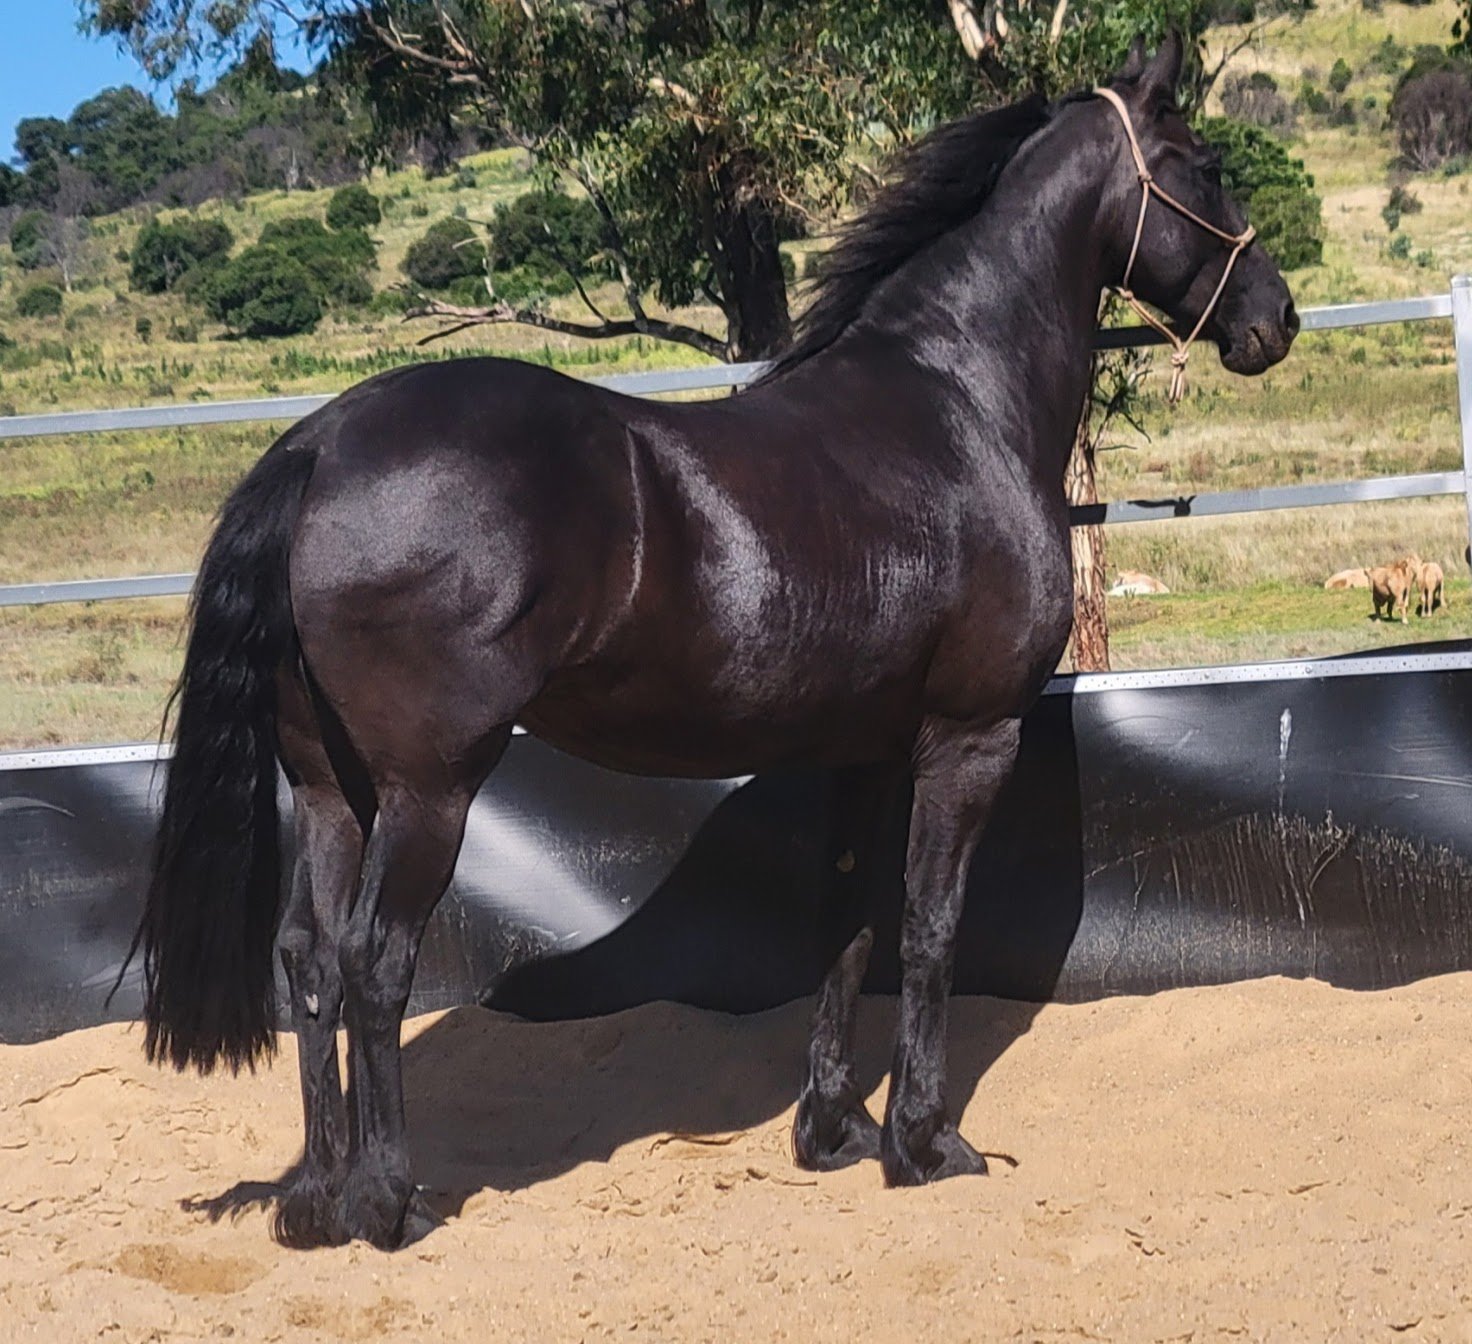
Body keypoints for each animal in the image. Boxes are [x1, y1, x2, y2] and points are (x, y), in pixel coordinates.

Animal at [129, 34, 1297, 1251]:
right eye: (1204, 165)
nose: (1277, 316)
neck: (957, 406)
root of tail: (319, 442)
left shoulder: (865, 752)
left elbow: (847, 927)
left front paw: (832, 1132)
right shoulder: (968, 739)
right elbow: (930, 930)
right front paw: (925, 1145)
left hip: (329, 788)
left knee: (307, 958)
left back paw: (315, 1198)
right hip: (426, 791)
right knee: (373, 962)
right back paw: (384, 1199)